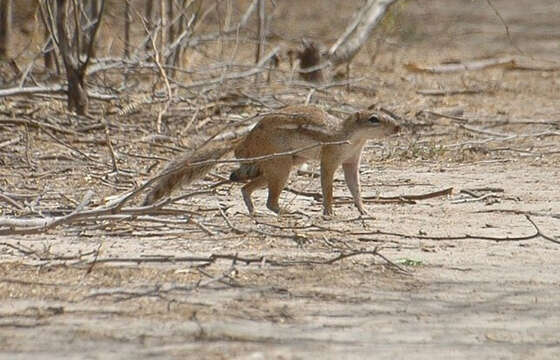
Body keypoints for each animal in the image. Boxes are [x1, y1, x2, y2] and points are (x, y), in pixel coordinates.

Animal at [144, 105, 398, 215]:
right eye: (374, 119)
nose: (398, 127)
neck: (353, 137)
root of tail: (244, 140)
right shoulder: (330, 157)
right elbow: (327, 185)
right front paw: (329, 212)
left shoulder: (351, 161)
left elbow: (355, 186)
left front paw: (364, 211)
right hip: (281, 165)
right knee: (270, 202)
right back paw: (289, 212)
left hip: (277, 167)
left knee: (245, 186)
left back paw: (251, 208)